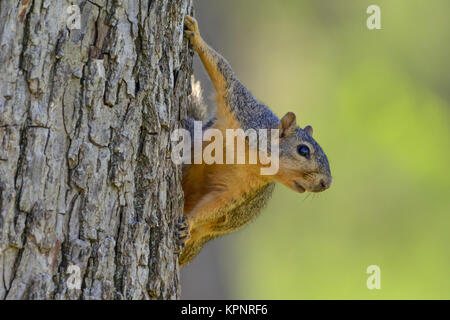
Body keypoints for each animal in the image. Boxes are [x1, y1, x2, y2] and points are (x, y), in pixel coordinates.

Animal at [175, 15, 330, 264]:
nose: (327, 183)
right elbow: (224, 72)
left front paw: (188, 221)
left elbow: (218, 205)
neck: (251, 157)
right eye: (303, 150)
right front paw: (195, 35)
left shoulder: (240, 190)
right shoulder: (242, 108)